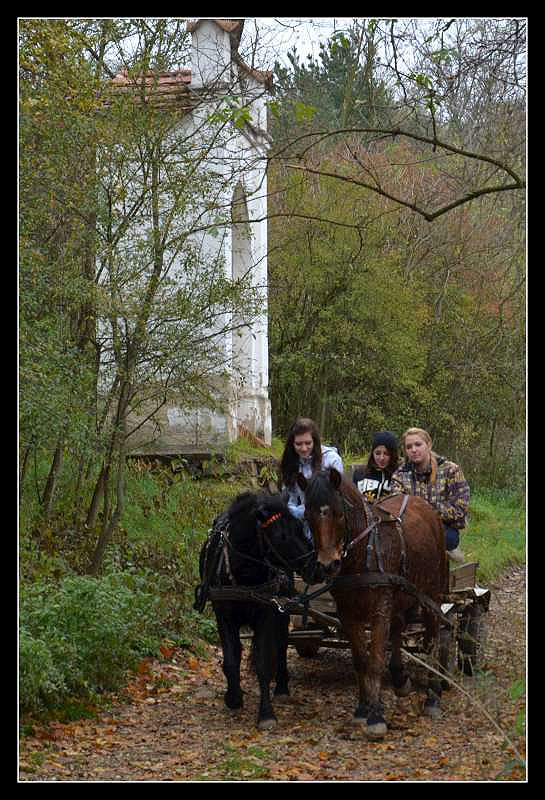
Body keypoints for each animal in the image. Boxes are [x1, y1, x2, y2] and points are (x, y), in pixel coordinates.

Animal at [194, 490, 314, 728]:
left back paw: (282, 687)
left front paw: (266, 714)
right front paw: (233, 697)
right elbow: (232, 658)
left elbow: (263, 661)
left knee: (282, 643)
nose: (315, 564)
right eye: (282, 536)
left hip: (283, 609)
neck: (245, 572)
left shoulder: (268, 612)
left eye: (300, 527)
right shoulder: (223, 614)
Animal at [300, 468, 448, 736]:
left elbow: (376, 660)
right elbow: (361, 661)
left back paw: (433, 696)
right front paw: (362, 709)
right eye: (307, 516)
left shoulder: (380, 609)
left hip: (432, 594)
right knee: (399, 626)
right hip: (401, 594)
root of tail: (424, 504)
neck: (361, 554)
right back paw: (400, 677)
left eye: (339, 514)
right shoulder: (348, 613)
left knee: (433, 638)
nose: (328, 565)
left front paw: (376, 716)